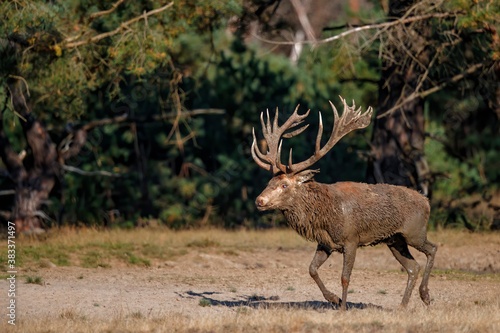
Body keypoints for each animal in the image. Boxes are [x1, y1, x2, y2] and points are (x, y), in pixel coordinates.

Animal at [252, 96, 436, 308]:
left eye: (284, 185)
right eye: (269, 182)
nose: (259, 200)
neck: (325, 217)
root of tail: (426, 201)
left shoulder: (351, 239)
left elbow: (345, 277)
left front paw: (342, 307)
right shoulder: (325, 243)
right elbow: (311, 269)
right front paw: (333, 298)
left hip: (415, 232)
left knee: (432, 249)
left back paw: (426, 295)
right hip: (395, 240)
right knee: (413, 266)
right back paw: (403, 306)